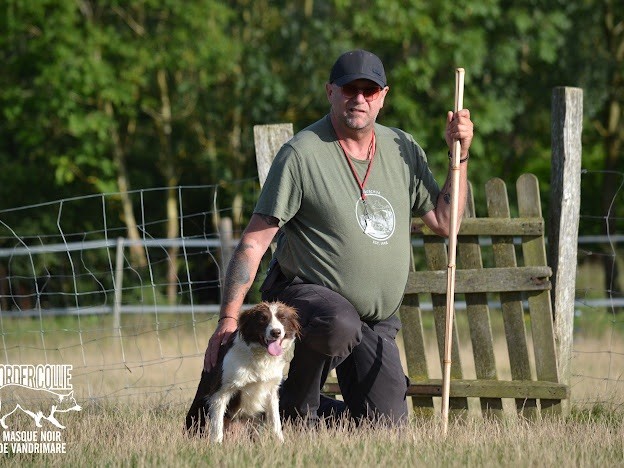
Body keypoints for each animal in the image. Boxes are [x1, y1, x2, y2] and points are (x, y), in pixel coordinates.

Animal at [185, 302, 300, 444]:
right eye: (262, 319)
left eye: (282, 318)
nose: (276, 332)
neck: (260, 356)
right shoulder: (221, 392)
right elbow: (217, 425)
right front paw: (216, 445)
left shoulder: (272, 390)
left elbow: (276, 422)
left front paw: (280, 443)